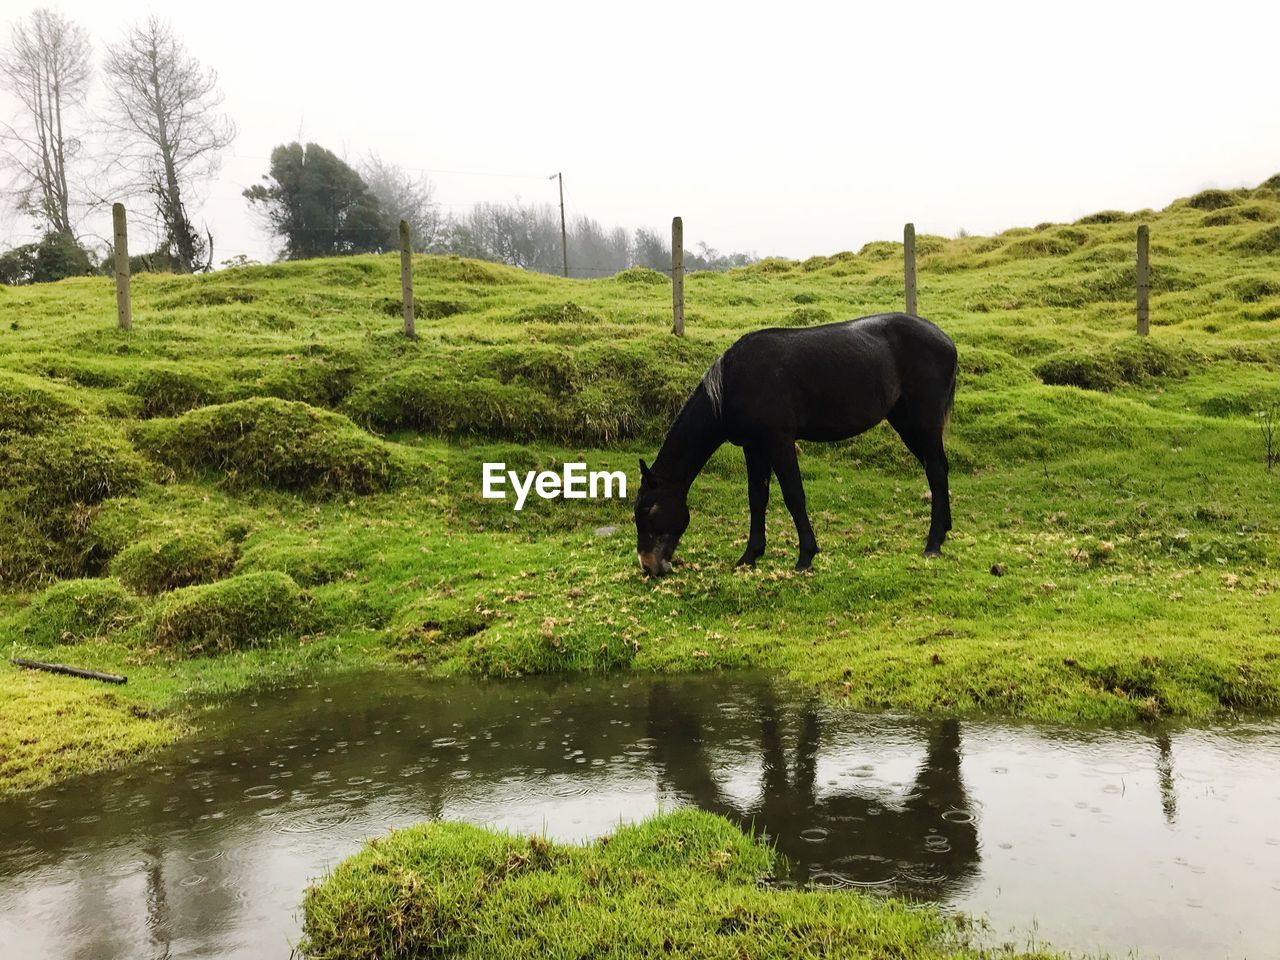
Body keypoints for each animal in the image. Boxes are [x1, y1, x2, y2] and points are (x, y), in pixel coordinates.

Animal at [634, 313, 957, 578]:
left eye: (648, 510)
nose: (648, 566)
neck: (733, 384)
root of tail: (945, 340)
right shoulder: (754, 447)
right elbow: (757, 498)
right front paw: (749, 556)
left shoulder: (779, 442)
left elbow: (793, 495)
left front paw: (805, 557)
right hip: (905, 422)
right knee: (938, 469)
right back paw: (944, 531)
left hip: (924, 421)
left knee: (935, 471)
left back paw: (932, 544)